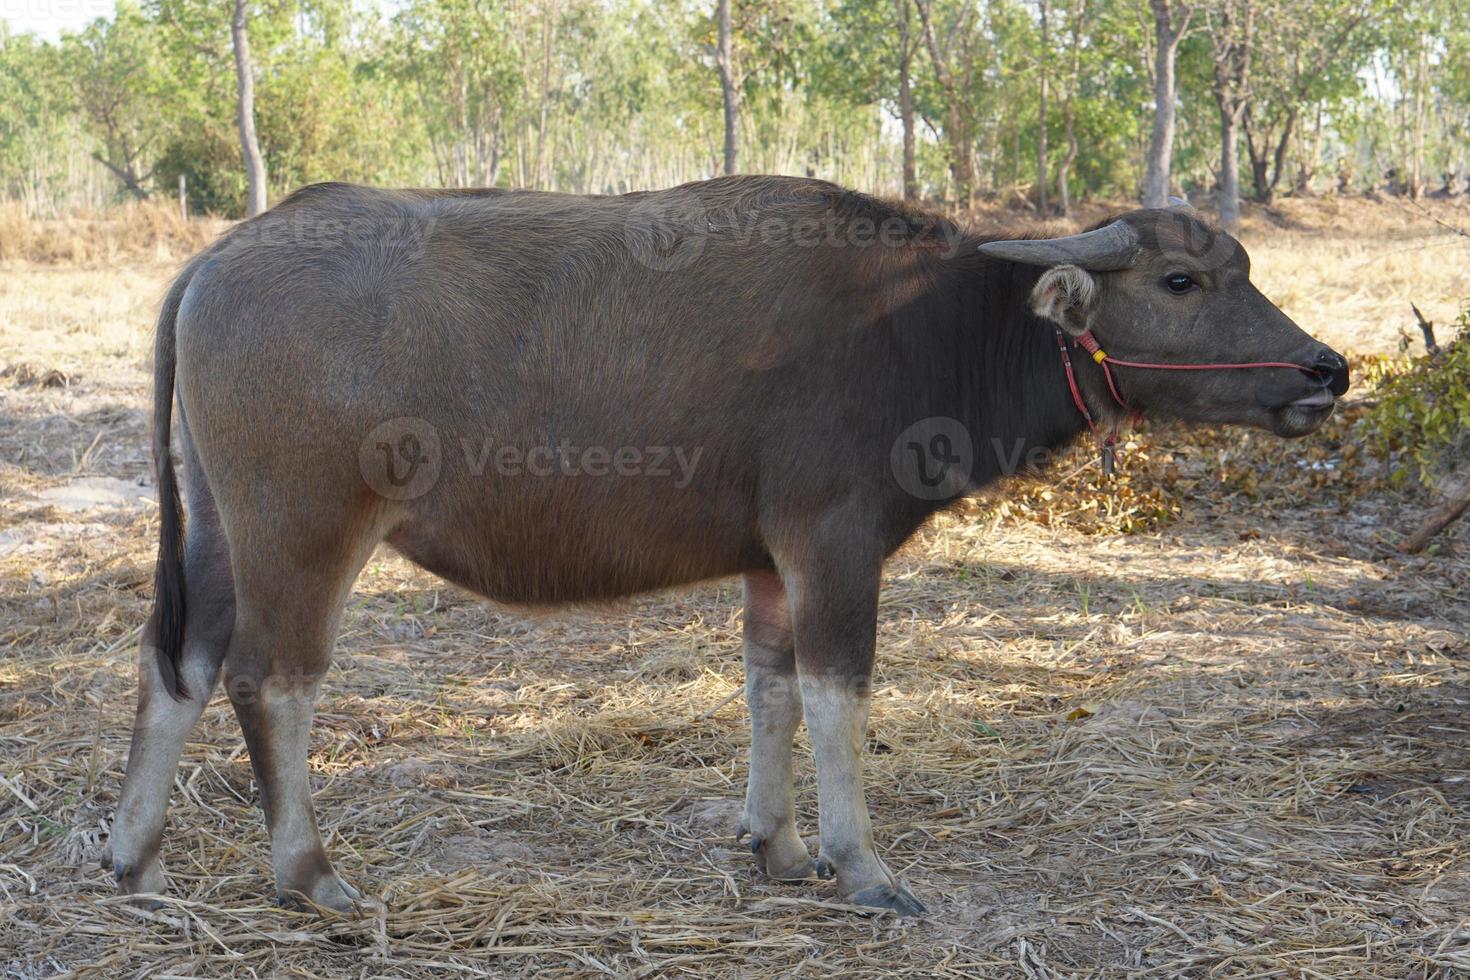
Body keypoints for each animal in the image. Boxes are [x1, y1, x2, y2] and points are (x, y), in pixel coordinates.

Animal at [108, 174, 1346, 910]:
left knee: (181, 664)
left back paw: (135, 848)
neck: (926, 325)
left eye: (1240, 271)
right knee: (273, 679)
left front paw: (777, 841)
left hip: (219, 526)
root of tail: (216, 259)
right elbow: (839, 696)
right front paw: (862, 862)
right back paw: (307, 869)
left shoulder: (768, 564)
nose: (1326, 369)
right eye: (1183, 280)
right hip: (303, 531)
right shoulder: (834, 543)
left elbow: (769, 689)